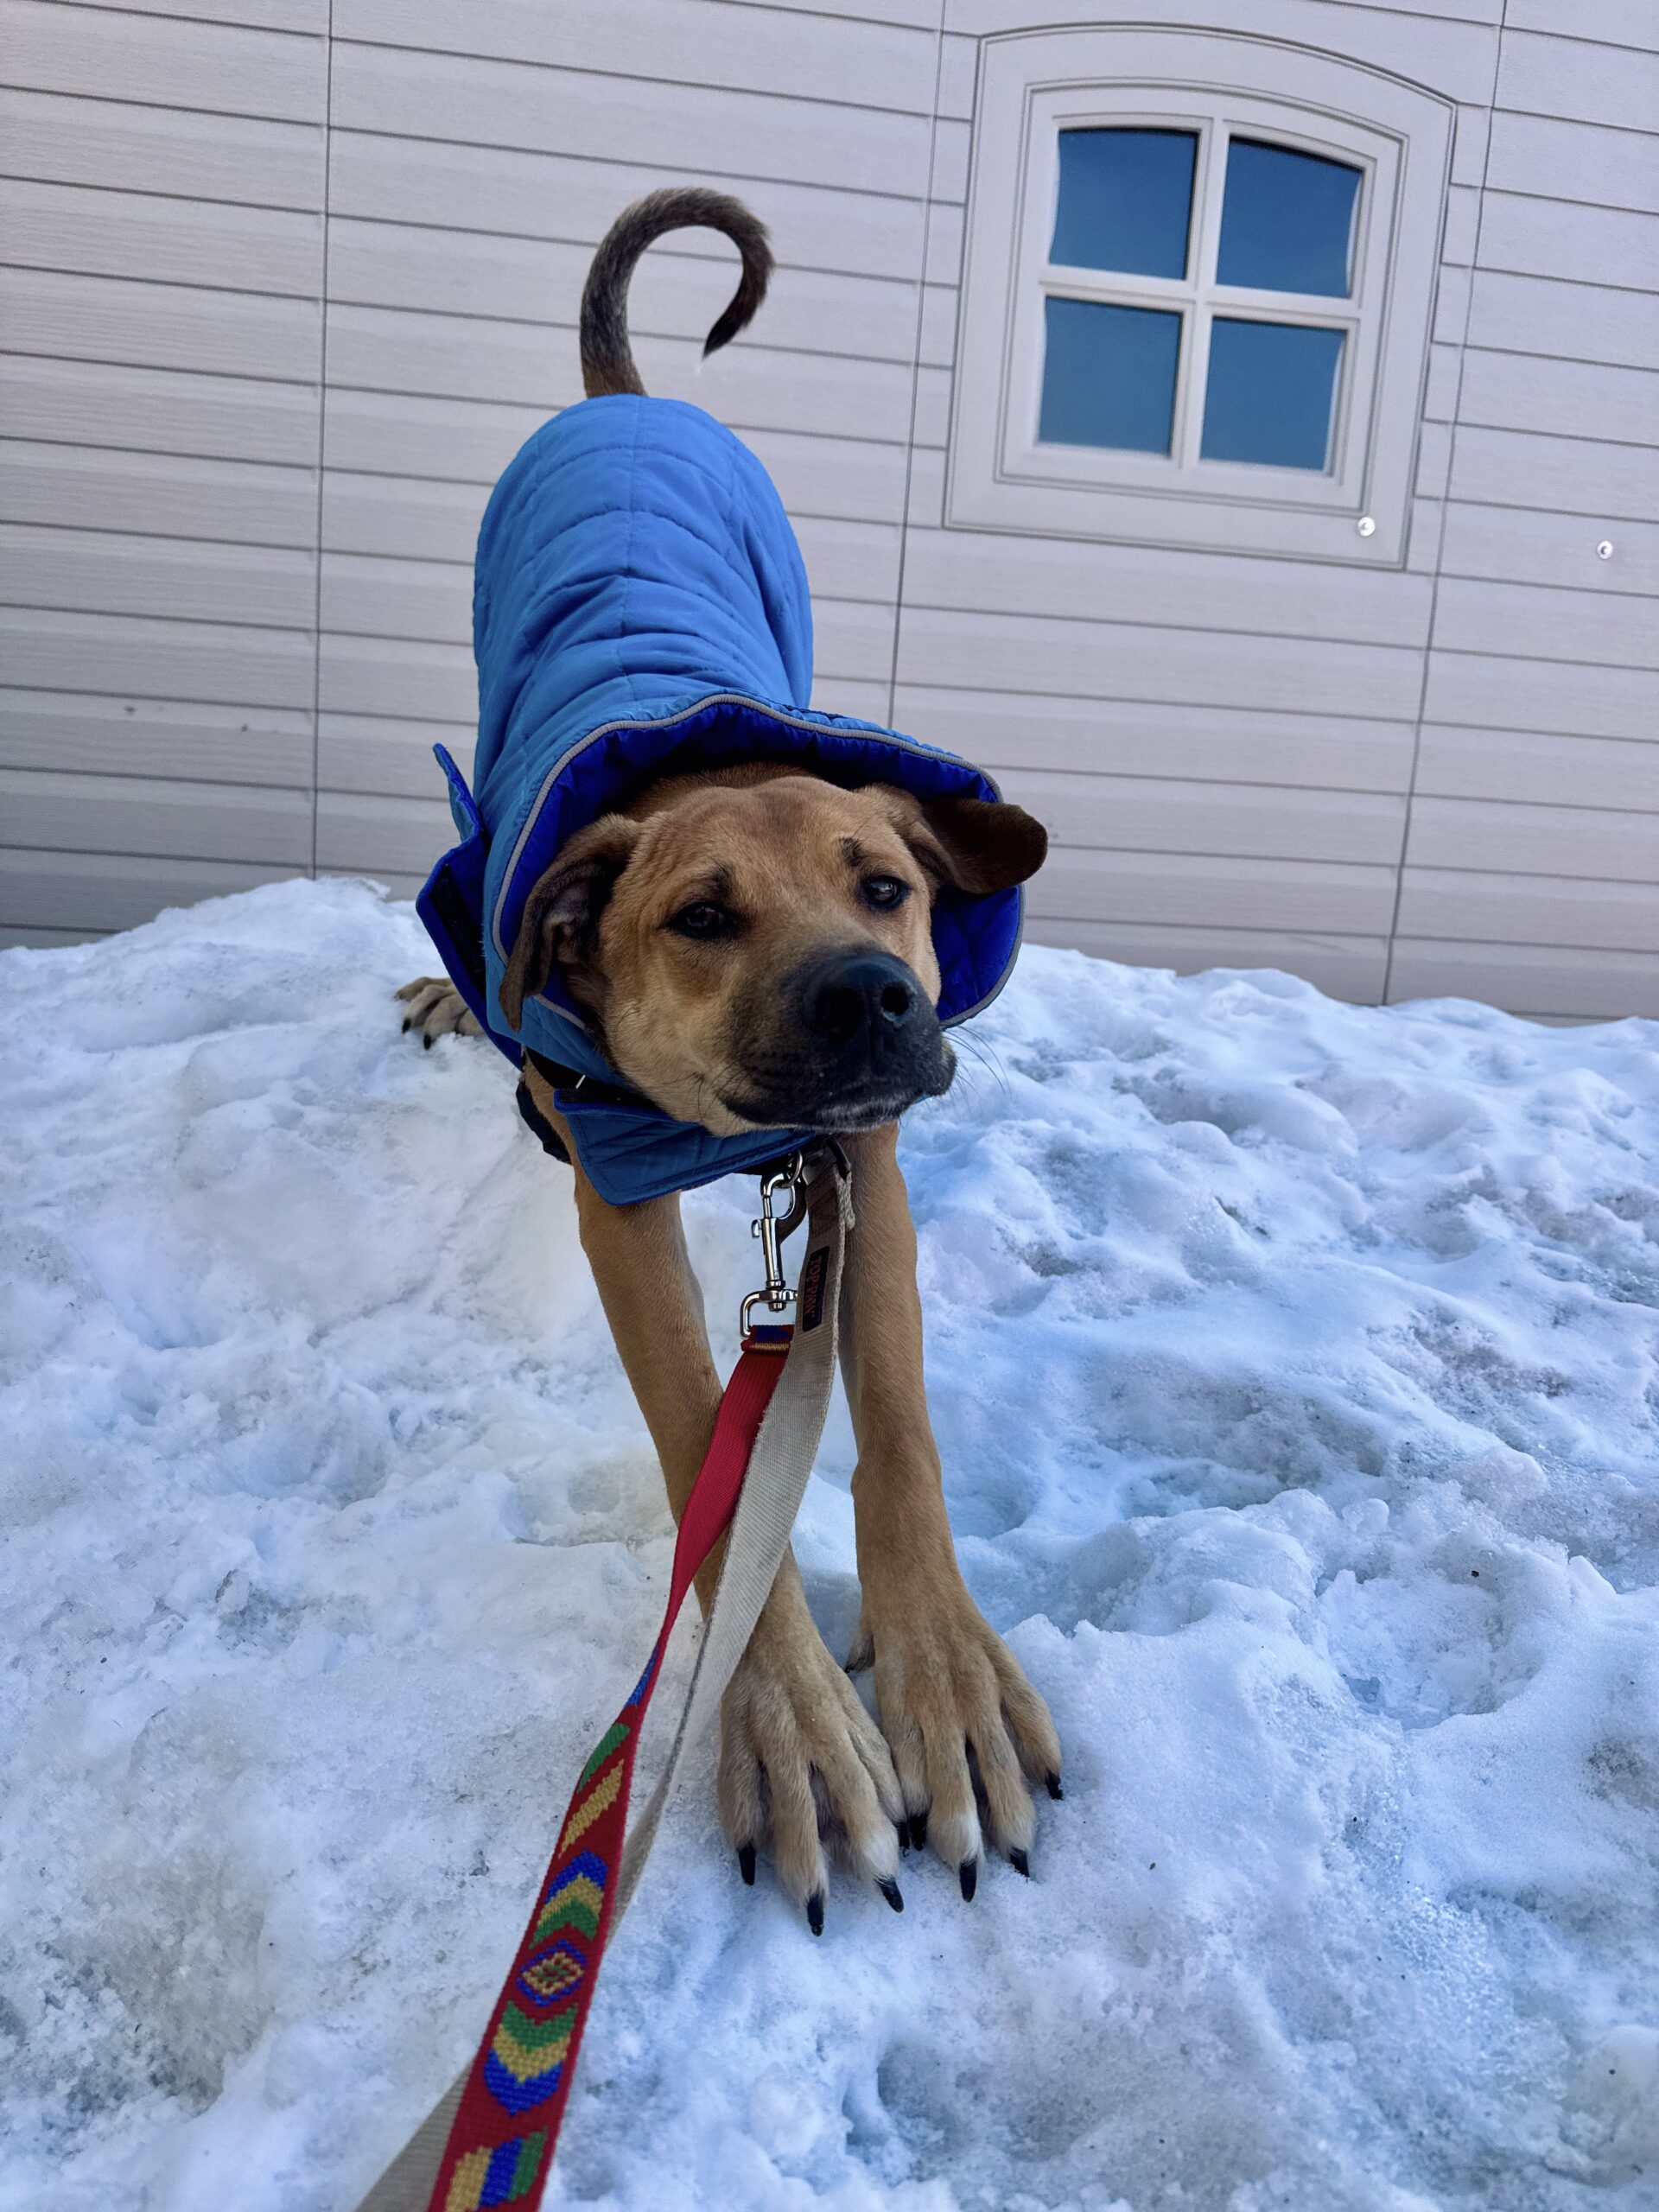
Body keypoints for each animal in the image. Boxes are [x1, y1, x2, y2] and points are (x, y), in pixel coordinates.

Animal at [399, 191, 1061, 1932]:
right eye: (700, 917)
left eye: (886, 887)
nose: (872, 1000)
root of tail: (631, 406)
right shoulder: (618, 1201)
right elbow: (711, 1448)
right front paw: (794, 1730)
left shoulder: (865, 1162)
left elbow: (899, 1425)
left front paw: (945, 1682)